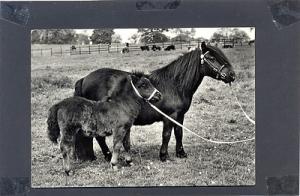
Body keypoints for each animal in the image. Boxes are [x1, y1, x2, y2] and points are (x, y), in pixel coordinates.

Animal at [74, 42, 236, 162]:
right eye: (212, 58)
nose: (232, 75)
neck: (174, 84)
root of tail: (85, 79)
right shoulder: (169, 116)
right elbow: (167, 135)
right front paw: (163, 155)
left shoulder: (180, 116)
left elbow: (179, 133)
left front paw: (181, 153)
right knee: (100, 137)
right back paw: (108, 156)